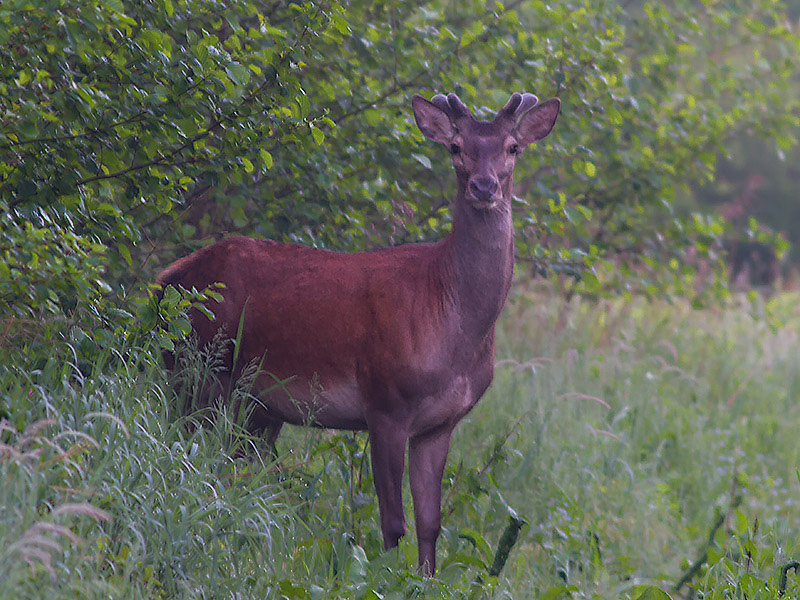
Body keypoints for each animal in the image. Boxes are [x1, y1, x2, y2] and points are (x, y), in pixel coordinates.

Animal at [155, 91, 556, 576]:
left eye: (513, 147)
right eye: (455, 147)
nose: (483, 186)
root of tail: (166, 280)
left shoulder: (440, 423)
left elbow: (430, 523)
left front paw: (426, 580)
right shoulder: (385, 400)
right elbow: (393, 523)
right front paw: (382, 577)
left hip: (256, 402)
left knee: (238, 469)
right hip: (198, 367)